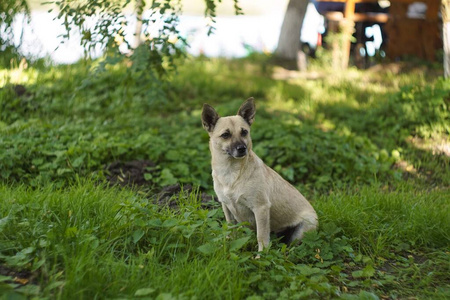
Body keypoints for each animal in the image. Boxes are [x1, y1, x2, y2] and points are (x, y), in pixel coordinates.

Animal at [202, 98, 318, 251]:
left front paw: (261, 255)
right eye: (225, 135)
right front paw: (227, 244)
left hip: (303, 228)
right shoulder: (226, 207)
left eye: (244, 132)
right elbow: (230, 230)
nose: (242, 148)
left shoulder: (260, 208)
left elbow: (261, 237)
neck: (231, 171)